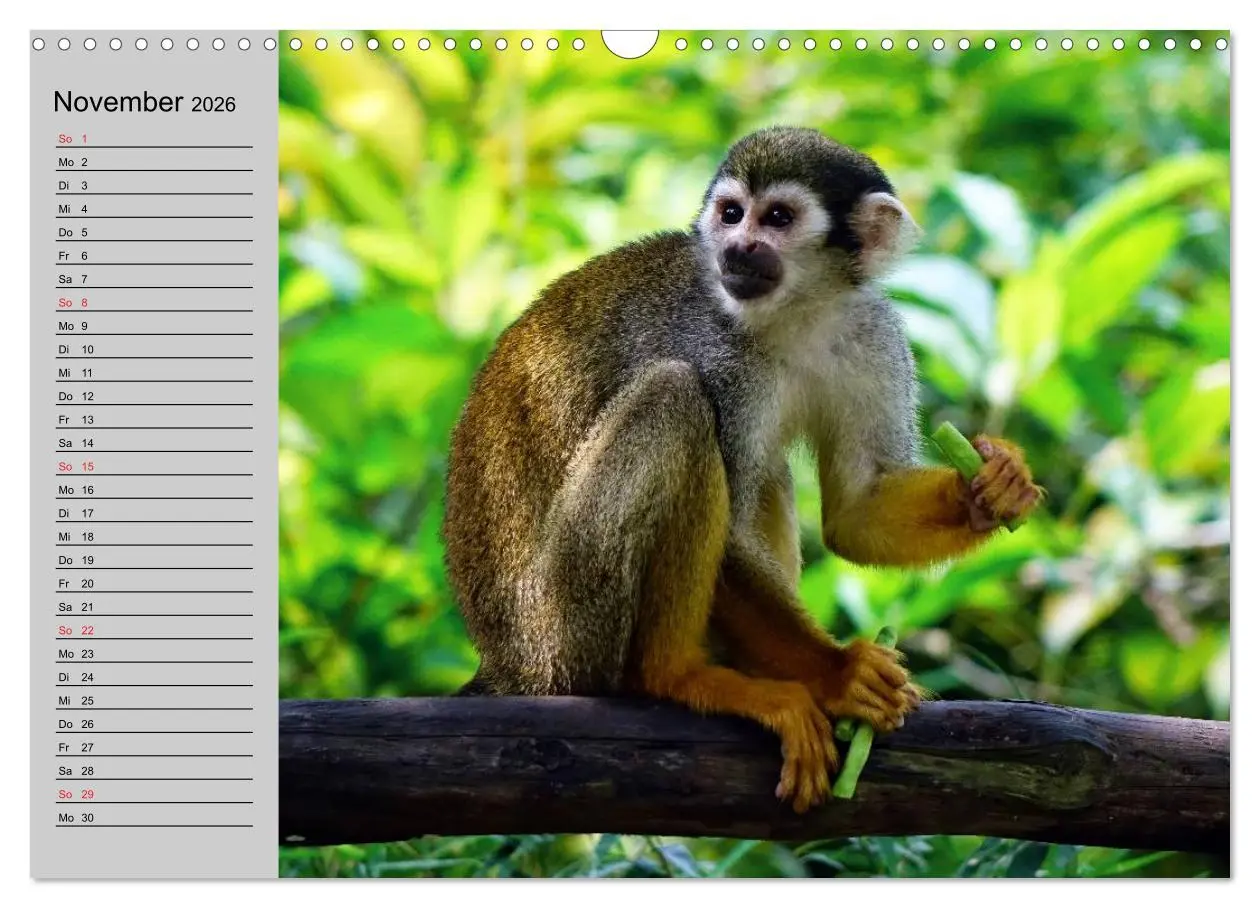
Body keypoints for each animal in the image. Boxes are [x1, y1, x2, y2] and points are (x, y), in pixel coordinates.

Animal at [442, 126, 1042, 813]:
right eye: (731, 214)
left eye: (776, 218)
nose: (737, 246)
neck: (796, 313)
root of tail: (506, 663)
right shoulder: (717, 352)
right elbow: (728, 540)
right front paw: (839, 674)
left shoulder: (872, 333)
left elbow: (855, 513)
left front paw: (991, 487)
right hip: (565, 628)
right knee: (676, 399)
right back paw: (678, 675)